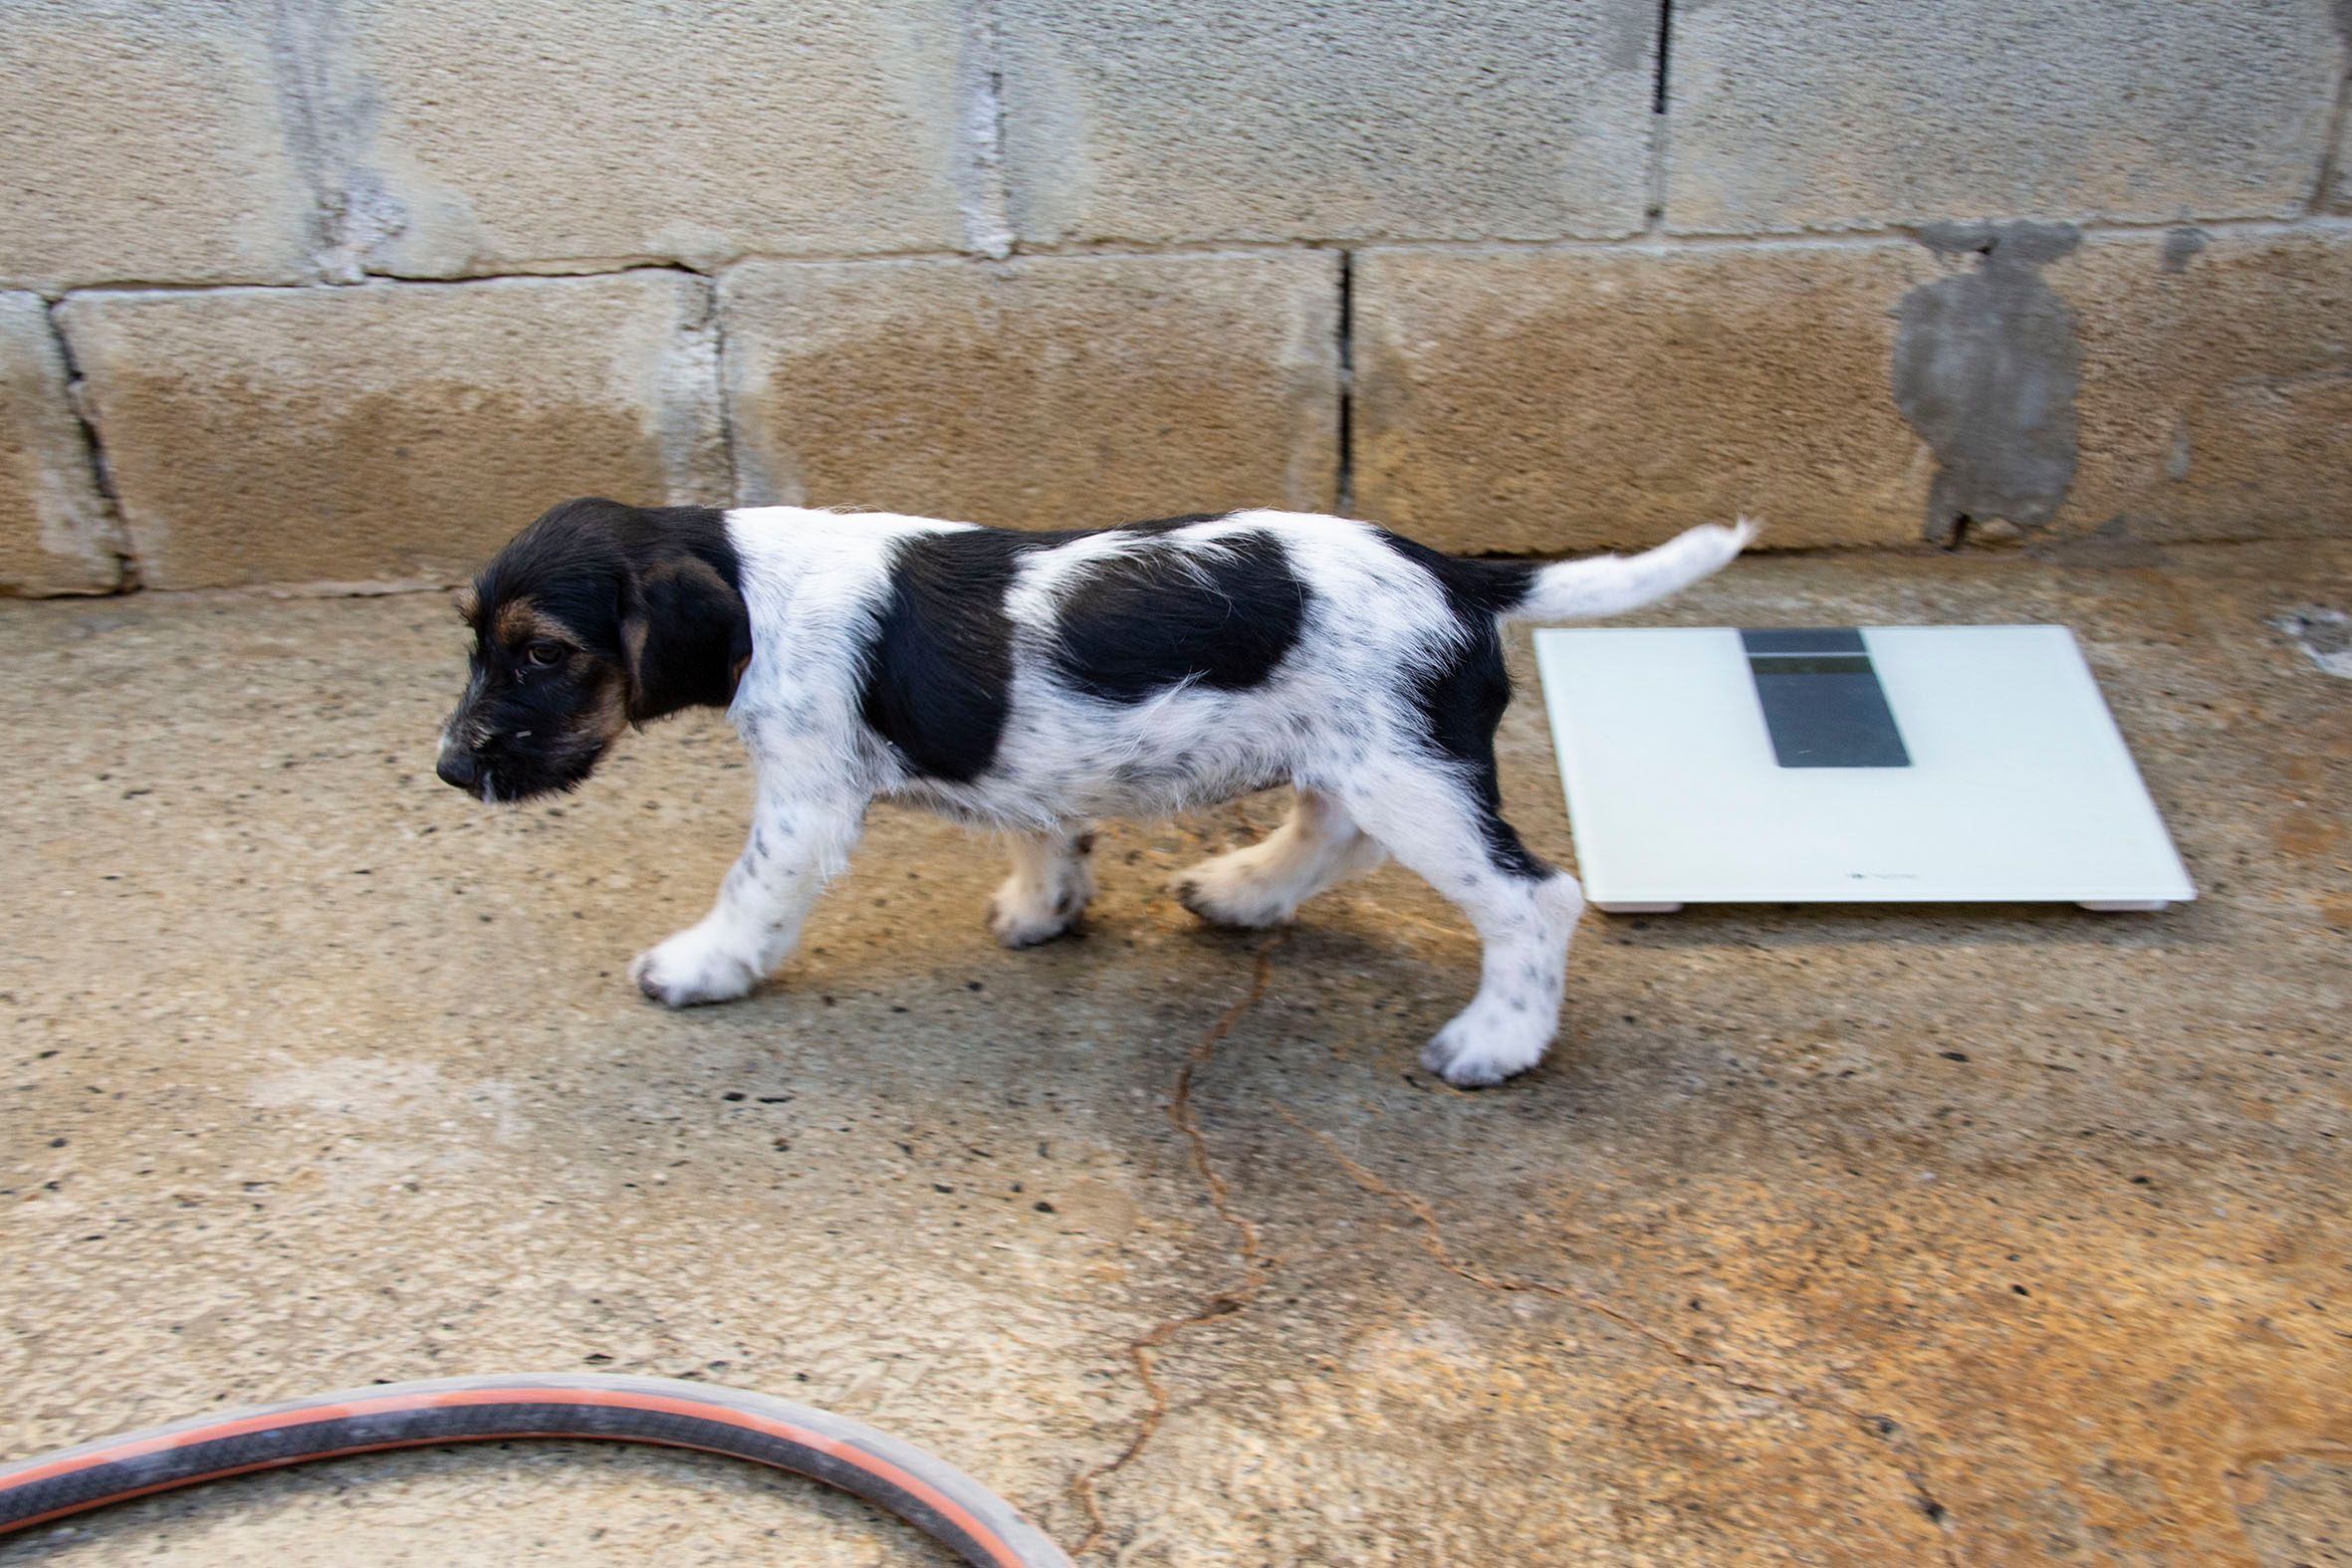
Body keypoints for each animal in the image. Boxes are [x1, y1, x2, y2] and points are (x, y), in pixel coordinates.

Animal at [437, 498, 1751, 1086]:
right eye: (475, 640)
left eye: (543, 651)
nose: (450, 767)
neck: (757, 585)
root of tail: (1457, 573)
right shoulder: (1024, 770)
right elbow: (1040, 824)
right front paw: (1045, 906)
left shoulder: (803, 806)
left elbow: (747, 896)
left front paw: (697, 969)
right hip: (1368, 759)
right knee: (1333, 835)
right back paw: (1243, 890)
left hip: (1411, 773)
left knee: (1532, 899)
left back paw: (1497, 1039)